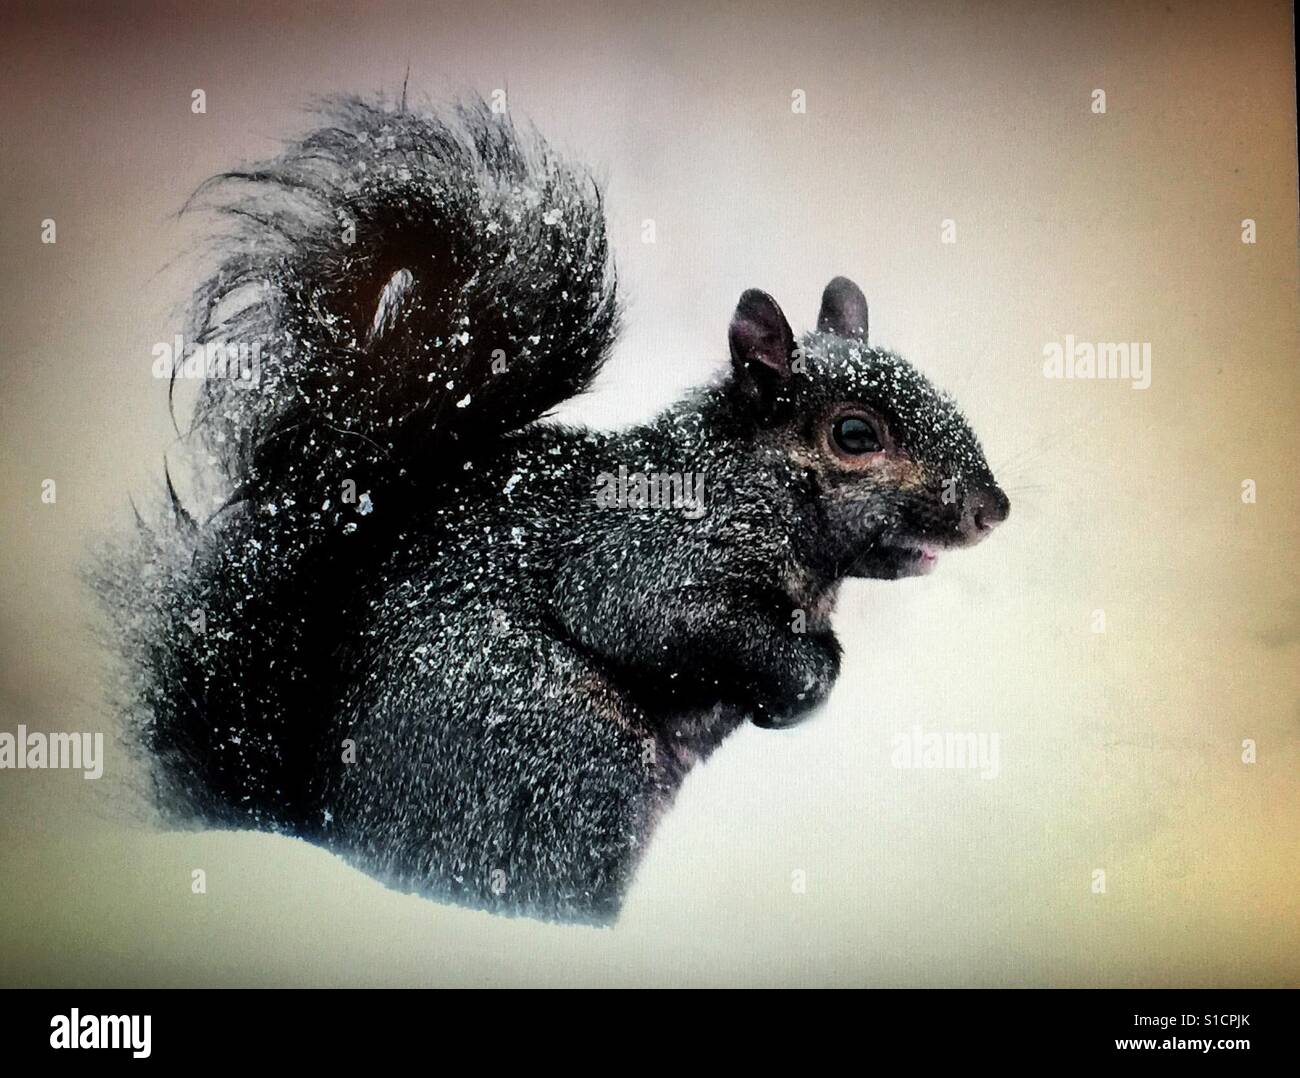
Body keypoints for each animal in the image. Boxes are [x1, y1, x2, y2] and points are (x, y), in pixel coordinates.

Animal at [96, 92, 1008, 920]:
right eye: (855, 433)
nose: (992, 509)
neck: (743, 485)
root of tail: (319, 829)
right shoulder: (642, 551)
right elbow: (645, 611)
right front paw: (803, 680)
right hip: (566, 761)